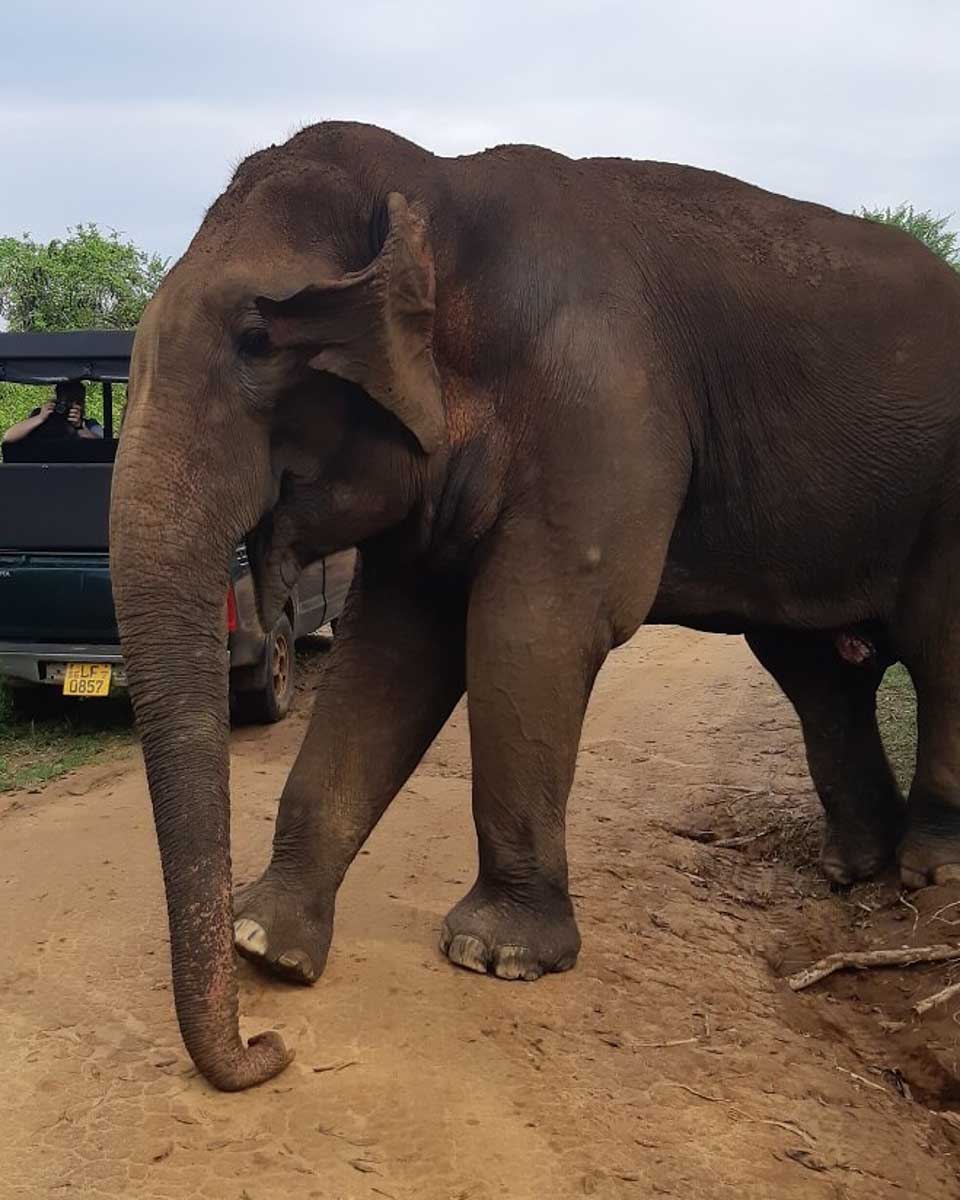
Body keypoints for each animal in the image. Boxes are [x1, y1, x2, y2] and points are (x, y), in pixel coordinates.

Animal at [110, 121, 960, 1091]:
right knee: (815, 668)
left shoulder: (604, 403)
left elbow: (533, 628)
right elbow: (393, 651)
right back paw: (854, 870)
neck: (438, 189)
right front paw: (269, 946)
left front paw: (498, 955)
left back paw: (930, 872)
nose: (268, 1048)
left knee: (937, 645)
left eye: (257, 337)